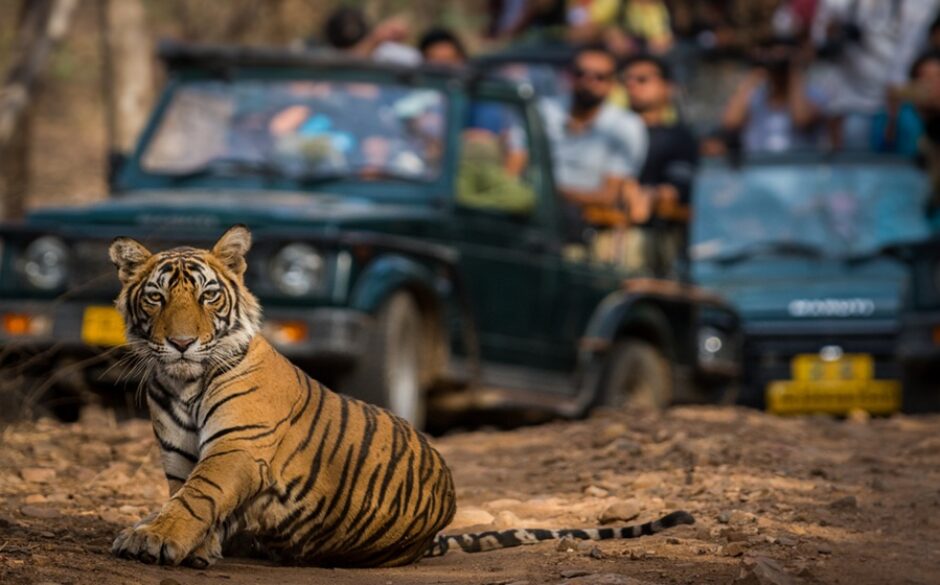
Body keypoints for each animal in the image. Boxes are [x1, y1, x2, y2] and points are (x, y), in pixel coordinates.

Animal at [106, 224, 692, 564]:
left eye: (207, 296)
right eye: (156, 298)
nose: (182, 343)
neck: (183, 382)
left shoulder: (238, 447)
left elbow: (197, 497)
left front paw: (155, 540)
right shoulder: (180, 455)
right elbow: (186, 496)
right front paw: (191, 544)